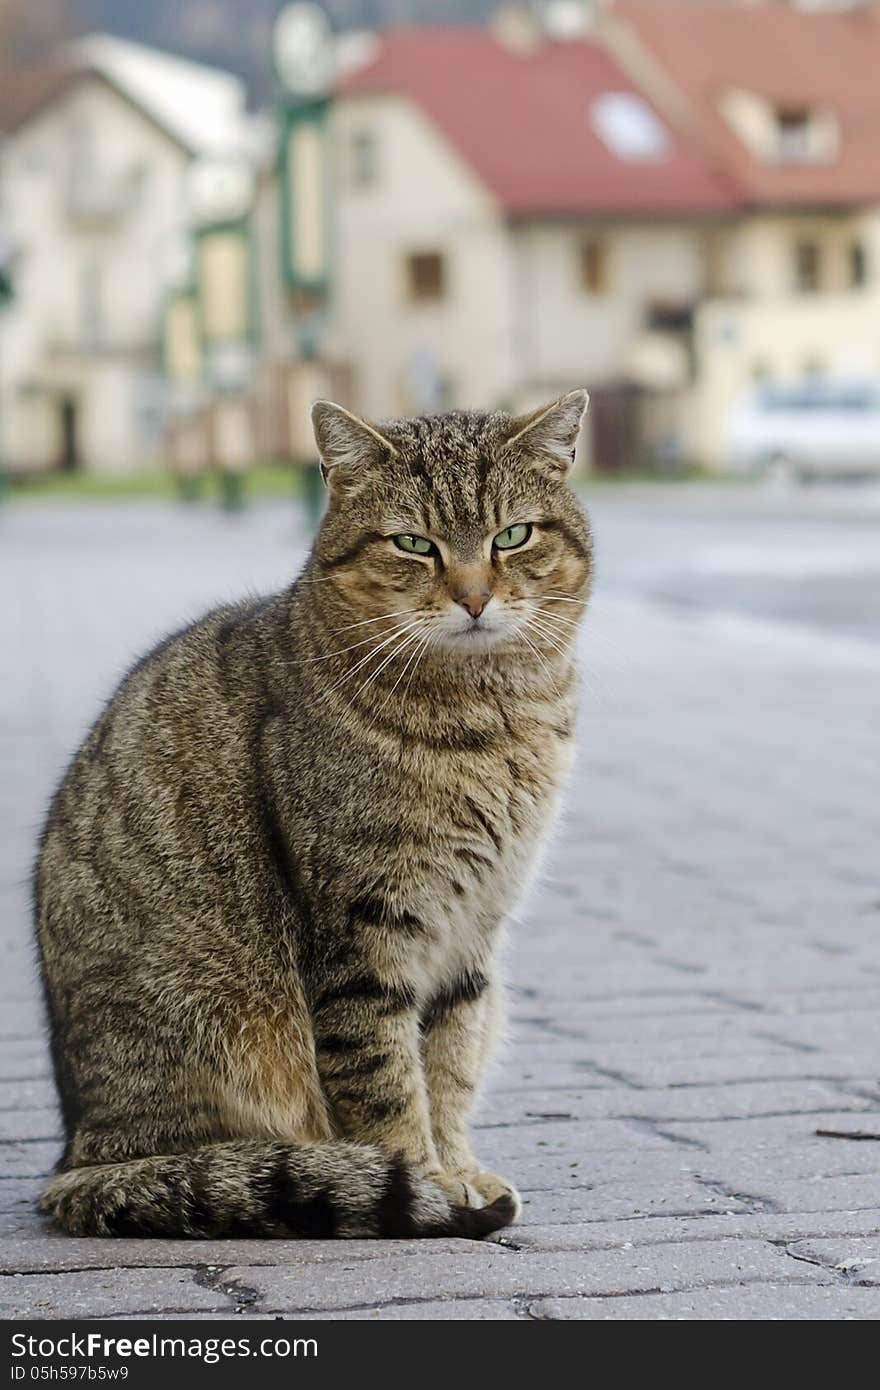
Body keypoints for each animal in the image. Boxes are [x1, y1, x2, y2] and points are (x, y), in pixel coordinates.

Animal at [34, 391, 589, 1239]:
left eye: (512, 535)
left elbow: (451, 1063)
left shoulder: (475, 928)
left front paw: (458, 1168)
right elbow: (387, 1079)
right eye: (413, 543)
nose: (473, 598)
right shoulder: (365, 926)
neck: (493, 712)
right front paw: (426, 1180)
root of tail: (77, 1153)